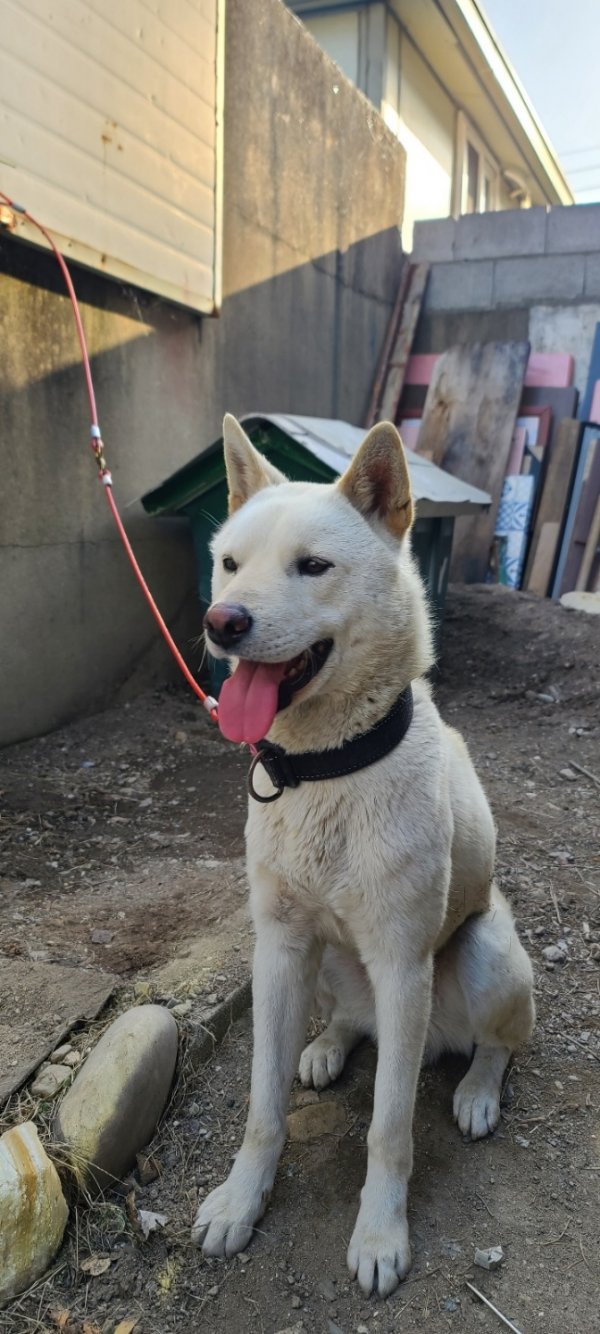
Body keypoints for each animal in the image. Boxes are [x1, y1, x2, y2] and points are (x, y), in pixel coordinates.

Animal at [192, 413, 533, 1291]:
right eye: (230, 563)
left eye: (313, 566)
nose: (222, 622)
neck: (325, 769)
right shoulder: (278, 949)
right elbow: (263, 1107)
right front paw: (242, 1199)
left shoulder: (403, 962)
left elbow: (389, 1129)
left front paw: (381, 1235)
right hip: (327, 967)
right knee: (355, 1020)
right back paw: (328, 1045)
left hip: (482, 955)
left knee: (496, 1043)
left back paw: (477, 1091)